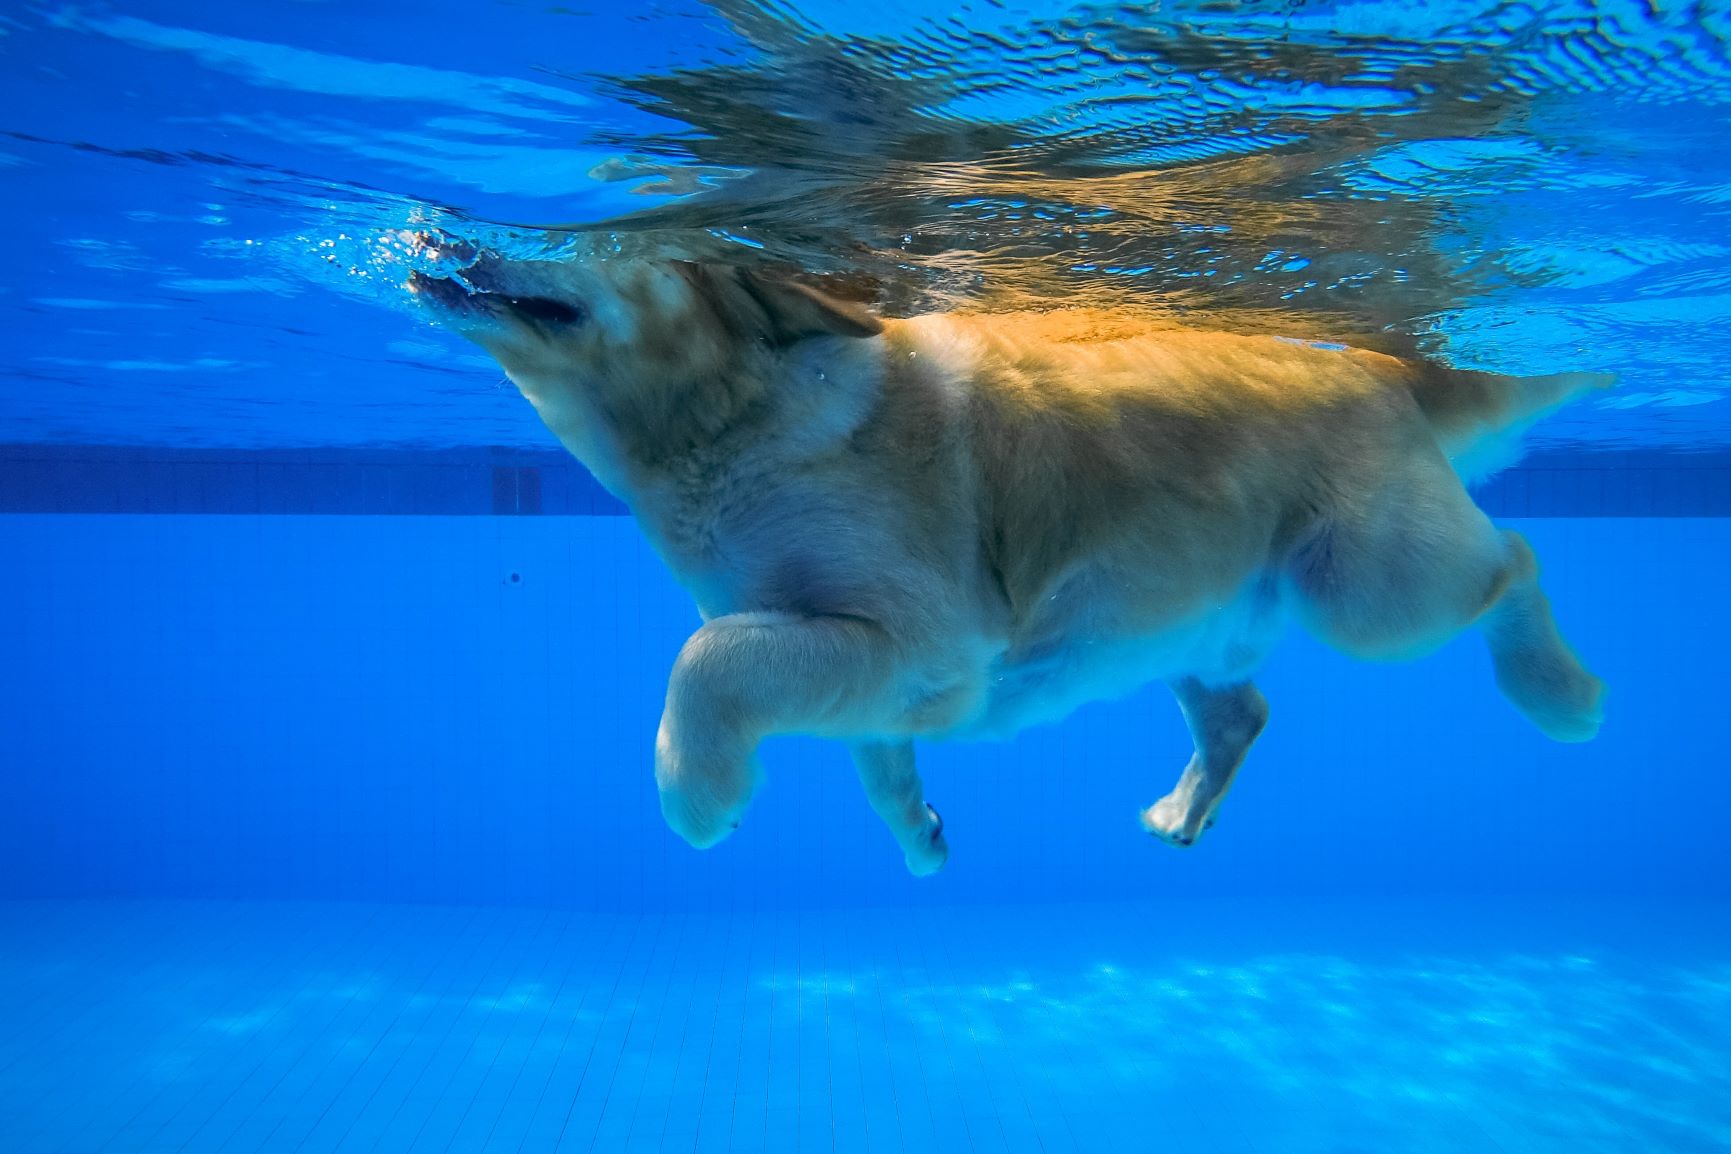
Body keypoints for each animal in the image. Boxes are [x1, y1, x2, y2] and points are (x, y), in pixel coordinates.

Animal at [408, 257, 1606, 875]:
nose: (450, 238)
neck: (721, 421)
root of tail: (1383, 366)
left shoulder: (920, 641)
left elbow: (708, 656)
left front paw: (699, 797)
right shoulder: (865, 662)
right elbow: (867, 751)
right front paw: (919, 833)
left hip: (1366, 587)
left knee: (1515, 560)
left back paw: (1561, 693)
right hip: (1187, 610)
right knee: (1242, 707)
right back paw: (1183, 809)